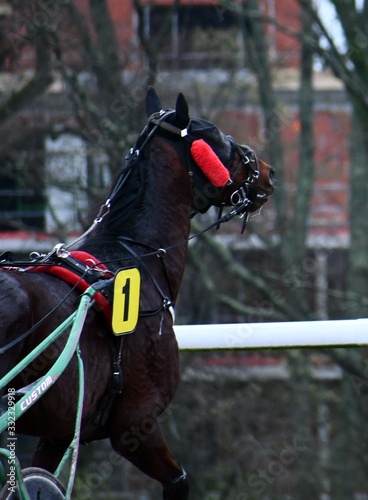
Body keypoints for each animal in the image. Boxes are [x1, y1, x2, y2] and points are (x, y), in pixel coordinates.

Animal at [0, 88, 274, 498]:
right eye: (219, 137)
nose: (268, 171)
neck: (134, 257)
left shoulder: (62, 430)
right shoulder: (135, 423)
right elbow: (178, 480)